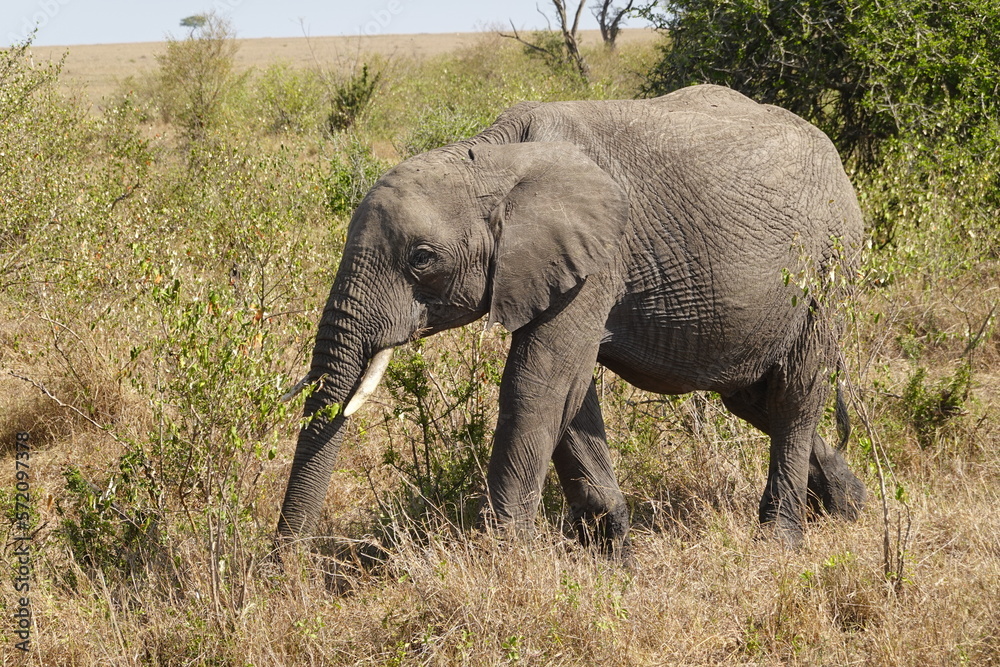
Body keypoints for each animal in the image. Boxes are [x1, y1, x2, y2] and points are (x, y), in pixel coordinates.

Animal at [277, 84, 867, 552]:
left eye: (422, 258)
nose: (284, 569)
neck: (495, 157)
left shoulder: (598, 256)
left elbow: (538, 382)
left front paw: (504, 561)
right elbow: (571, 394)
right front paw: (609, 551)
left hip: (829, 263)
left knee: (795, 392)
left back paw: (782, 541)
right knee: (752, 396)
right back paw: (850, 506)